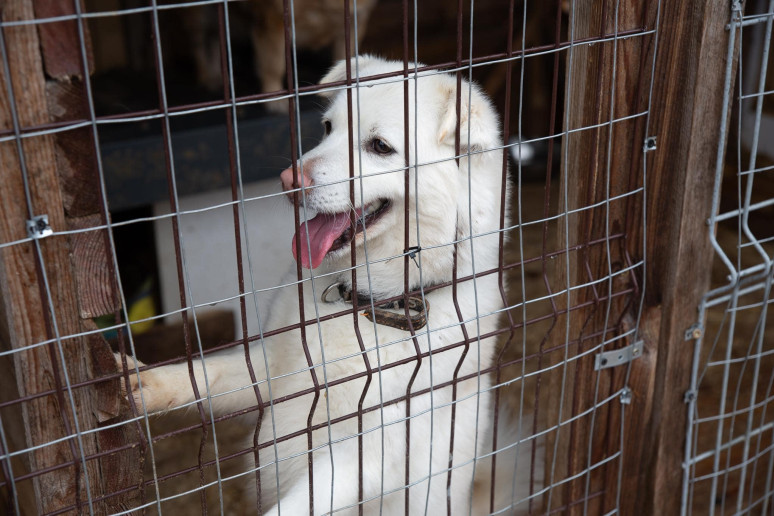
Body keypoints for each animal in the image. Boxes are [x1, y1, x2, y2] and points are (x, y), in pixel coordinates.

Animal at [117, 55, 514, 514]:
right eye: (327, 128)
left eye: (380, 146)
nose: (289, 180)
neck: (370, 302)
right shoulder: (269, 369)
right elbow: (205, 374)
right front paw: (142, 383)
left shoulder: (361, 458)